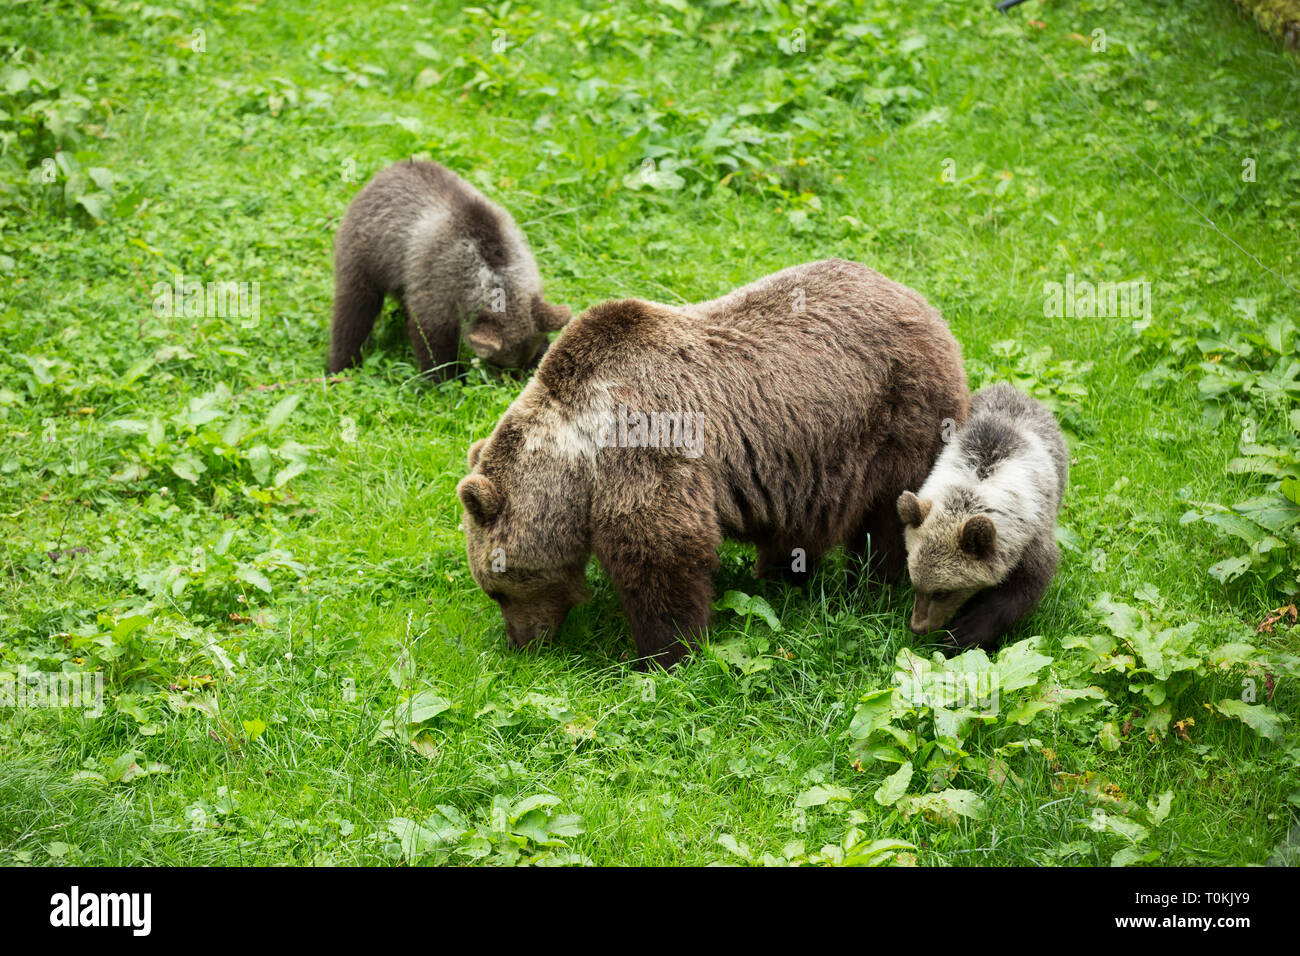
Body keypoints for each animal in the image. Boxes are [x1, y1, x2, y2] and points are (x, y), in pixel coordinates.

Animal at [327, 159, 571, 378]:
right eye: (500, 362)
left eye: (526, 357)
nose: (515, 375)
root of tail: (384, 172)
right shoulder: (437, 283)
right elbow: (432, 342)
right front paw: (448, 377)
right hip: (368, 255)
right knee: (354, 310)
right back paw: (341, 365)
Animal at [456, 258, 970, 668]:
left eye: (496, 588)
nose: (521, 643)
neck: (580, 455)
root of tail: (925, 305)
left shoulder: (644, 444)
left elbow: (663, 549)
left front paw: (664, 654)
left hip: (901, 418)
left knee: (886, 517)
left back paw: (871, 587)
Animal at [896, 382, 1069, 649]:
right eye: (915, 583)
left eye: (942, 592)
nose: (918, 627)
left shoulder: (1031, 539)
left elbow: (1020, 591)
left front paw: (962, 633)